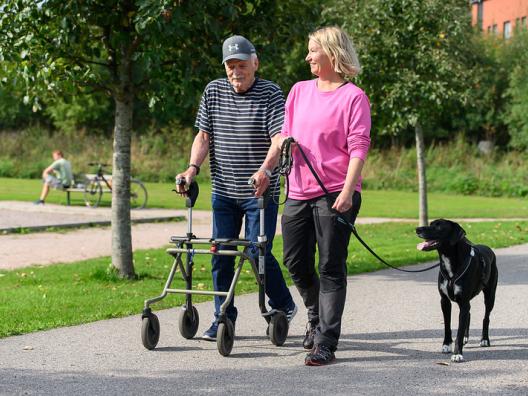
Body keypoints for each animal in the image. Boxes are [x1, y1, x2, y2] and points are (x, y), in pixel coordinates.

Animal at [414, 220, 498, 362]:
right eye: (430, 223)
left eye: (439, 226)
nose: (417, 229)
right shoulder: (444, 301)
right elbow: (447, 325)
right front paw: (447, 345)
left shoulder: (463, 302)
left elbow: (459, 329)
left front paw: (457, 353)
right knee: (469, 314)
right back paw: (466, 338)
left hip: (490, 295)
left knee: (486, 317)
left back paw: (485, 339)